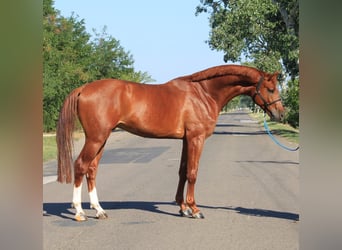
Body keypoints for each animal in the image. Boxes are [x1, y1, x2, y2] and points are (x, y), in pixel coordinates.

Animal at [57, 64, 284, 221]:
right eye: (271, 89)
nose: (281, 114)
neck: (203, 93)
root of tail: (84, 88)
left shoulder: (186, 140)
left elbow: (182, 171)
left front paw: (182, 208)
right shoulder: (196, 138)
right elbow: (193, 173)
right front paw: (194, 209)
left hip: (102, 139)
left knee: (92, 170)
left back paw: (99, 210)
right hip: (96, 138)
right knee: (81, 166)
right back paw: (79, 212)